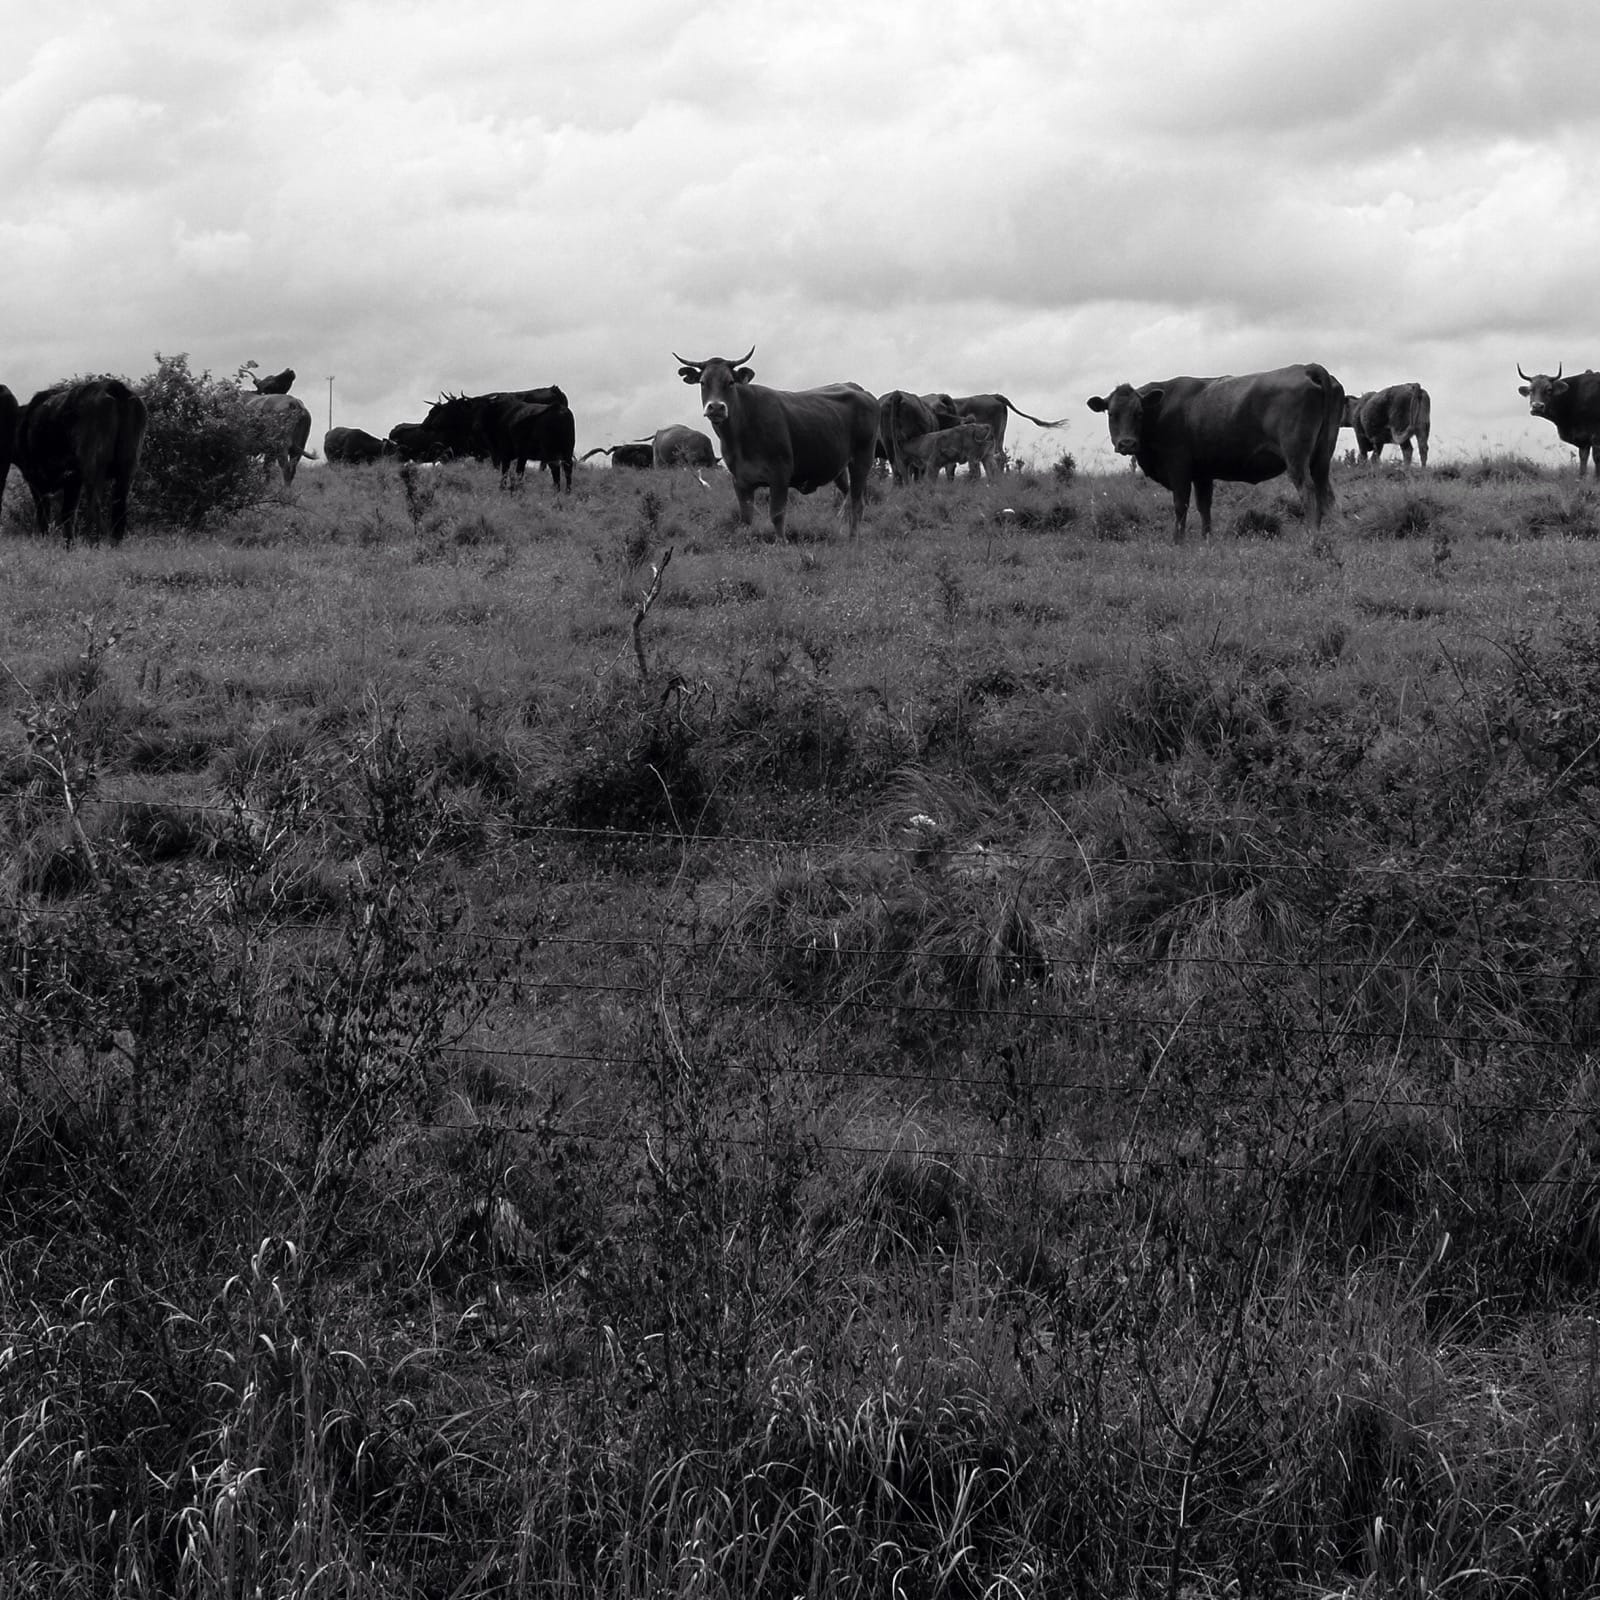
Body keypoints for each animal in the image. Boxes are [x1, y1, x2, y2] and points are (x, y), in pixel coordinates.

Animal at [14, 378, 149, 544]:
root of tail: (113, 386)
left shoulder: (36, 480)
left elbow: (45, 516)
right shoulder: (72, 482)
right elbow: (67, 515)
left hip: (94, 468)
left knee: (95, 504)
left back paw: (95, 542)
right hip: (127, 469)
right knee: (119, 506)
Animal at [675, 347, 879, 540]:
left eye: (730, 382)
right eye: (703, 382)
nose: (716, 407)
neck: (740, 436)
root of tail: (859, 389)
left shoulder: (780, 473)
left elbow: (777, 514)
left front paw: (782, 544)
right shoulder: (740, 480)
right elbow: (746, 517)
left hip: (862, 460)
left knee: (857, 503)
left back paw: (853, 539)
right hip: (840, 467)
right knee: (848, 496)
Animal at [1087, 363, 1344, 542]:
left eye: (1139, 413)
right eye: (1112, 414)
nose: (1127, 444)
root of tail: (1307, 367)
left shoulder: (1178, 466)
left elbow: (1181, 504)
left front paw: (1177, 541)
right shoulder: (1203, 473)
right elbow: (1204, 506)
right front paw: (1206, 539)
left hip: (1296, 457)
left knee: (1308, 491)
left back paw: (1312, 536)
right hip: (1321, 458)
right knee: (1326, 494)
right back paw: (1335, 533)